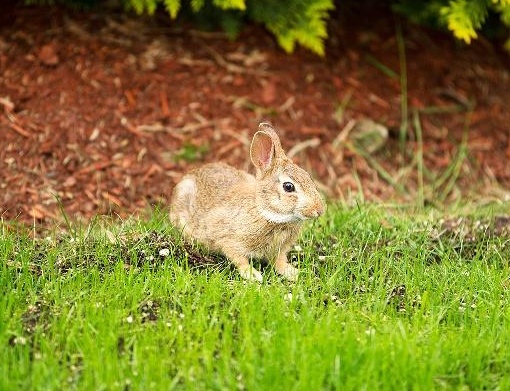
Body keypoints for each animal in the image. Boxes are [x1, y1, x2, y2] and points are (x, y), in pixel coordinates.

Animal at [169, 122, 324, 282]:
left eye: (308, 177)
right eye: (288, 187)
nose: (319, 210)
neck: (265, 212)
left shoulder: (279, 250)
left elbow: (279, 261)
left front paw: (292, 272)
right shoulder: (228, 240)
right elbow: (239, 259)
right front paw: (253, 275)